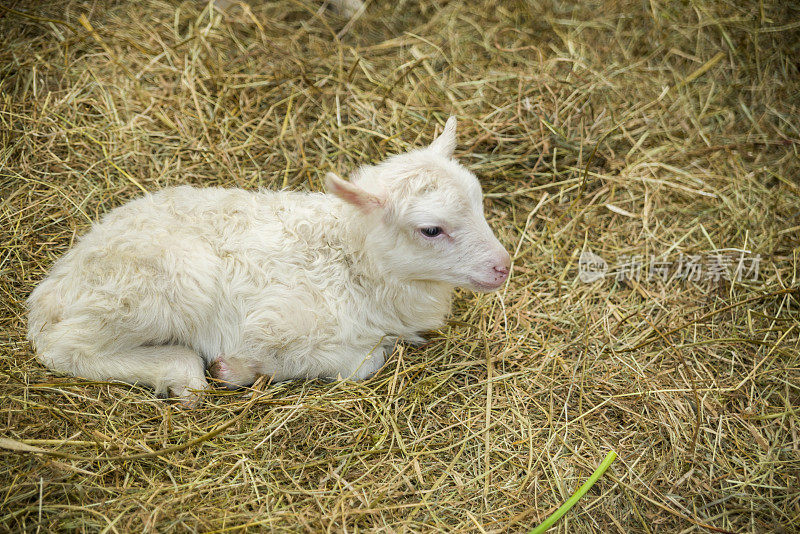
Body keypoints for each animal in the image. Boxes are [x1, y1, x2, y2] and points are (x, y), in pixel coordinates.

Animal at [29, 117, 512, 408]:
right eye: (431, 230)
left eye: (478, 202)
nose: (503, 266)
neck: (351, 263)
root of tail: (51, 290)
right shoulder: (276, 321)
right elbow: (360, 362)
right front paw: (239, 369)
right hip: (156, 288)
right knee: (66, 349)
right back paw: (179, 371)